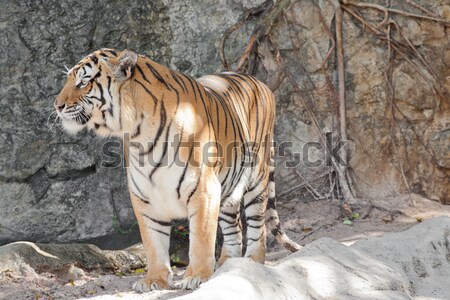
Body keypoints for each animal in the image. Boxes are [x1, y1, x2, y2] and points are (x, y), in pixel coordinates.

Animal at [54, 48, 300, 290]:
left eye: (83, 82)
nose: (57, 105)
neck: (137, 133)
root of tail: (260, 82)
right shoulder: (145, 196)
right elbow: (153, 242)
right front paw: (155, 280)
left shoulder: (204, 189)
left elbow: (201, 238)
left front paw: (197, 276)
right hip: (229, 188)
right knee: (234, 227)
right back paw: (227, 264)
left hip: (256, 180)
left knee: (257, 225)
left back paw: (251, 261)